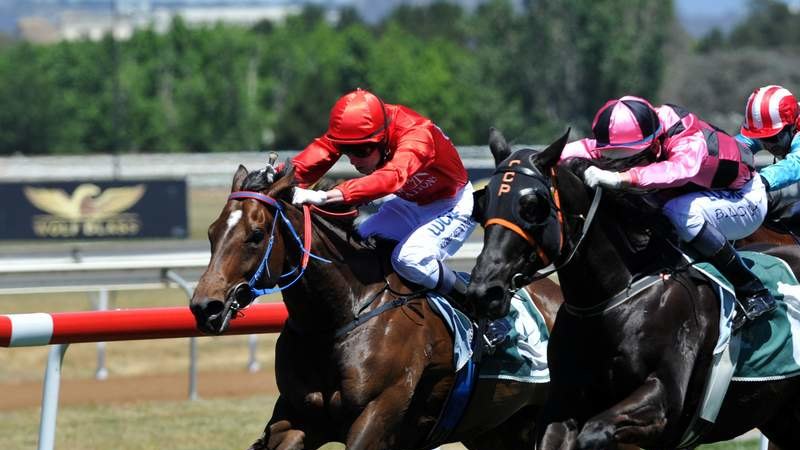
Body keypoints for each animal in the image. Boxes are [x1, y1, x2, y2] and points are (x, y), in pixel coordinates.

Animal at [188, 162, 564, 450]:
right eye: (211, 232)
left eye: (255, 234)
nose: (206, 306)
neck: (337, 318)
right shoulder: (295, 417)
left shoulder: (376, 414)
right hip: (495, 429)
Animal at [466, 130, 800, 450]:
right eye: (483, 204)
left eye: (532, 206)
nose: (484, 290)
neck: (612, 299)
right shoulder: (561, 406)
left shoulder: (664, 400)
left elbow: (594, 433)